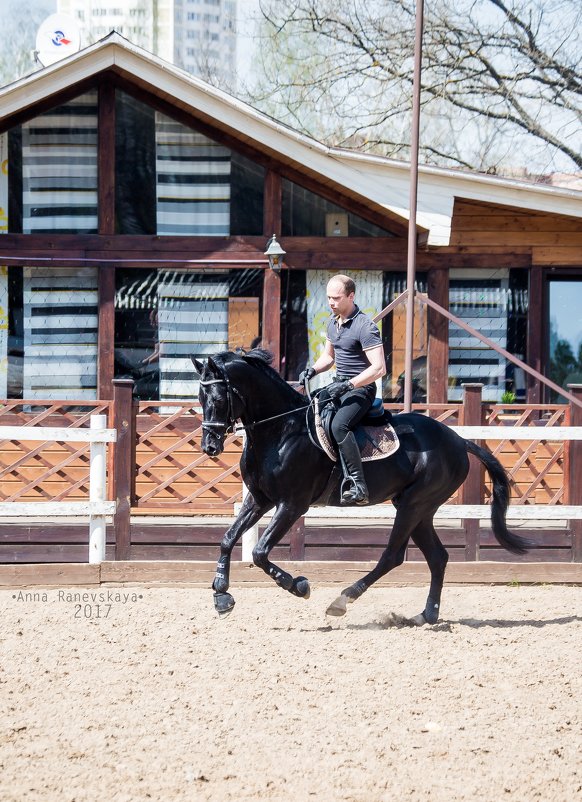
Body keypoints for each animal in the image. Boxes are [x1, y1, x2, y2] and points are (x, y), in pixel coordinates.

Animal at [195, 346, 532, 620]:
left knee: (392, 556)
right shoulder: (259, 499)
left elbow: (259, 552)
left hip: (414, 505)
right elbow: (228, 538)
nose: (210, 446)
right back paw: (426, 615)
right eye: (200, 398)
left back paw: (342, 600)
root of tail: (459, 440)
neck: (281, 430)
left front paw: (299, 585)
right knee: (438, 557)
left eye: (219, 398)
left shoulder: (291, 505)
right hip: (420, 509)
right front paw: (221, 594)